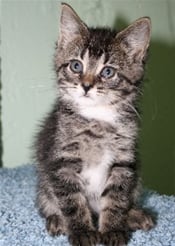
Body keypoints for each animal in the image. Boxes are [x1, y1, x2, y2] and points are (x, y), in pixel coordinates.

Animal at [34, 2, 154, 246]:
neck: (98, 119)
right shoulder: (62, 162)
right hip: (43, 183)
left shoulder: (123, 162)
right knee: (47, 201)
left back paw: (135, 215)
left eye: (107, 71)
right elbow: (72, 201)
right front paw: (82, 232)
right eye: (76, 66)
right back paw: (56, 219)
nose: (86, 86)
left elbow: (116, 198)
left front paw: (112, 230)